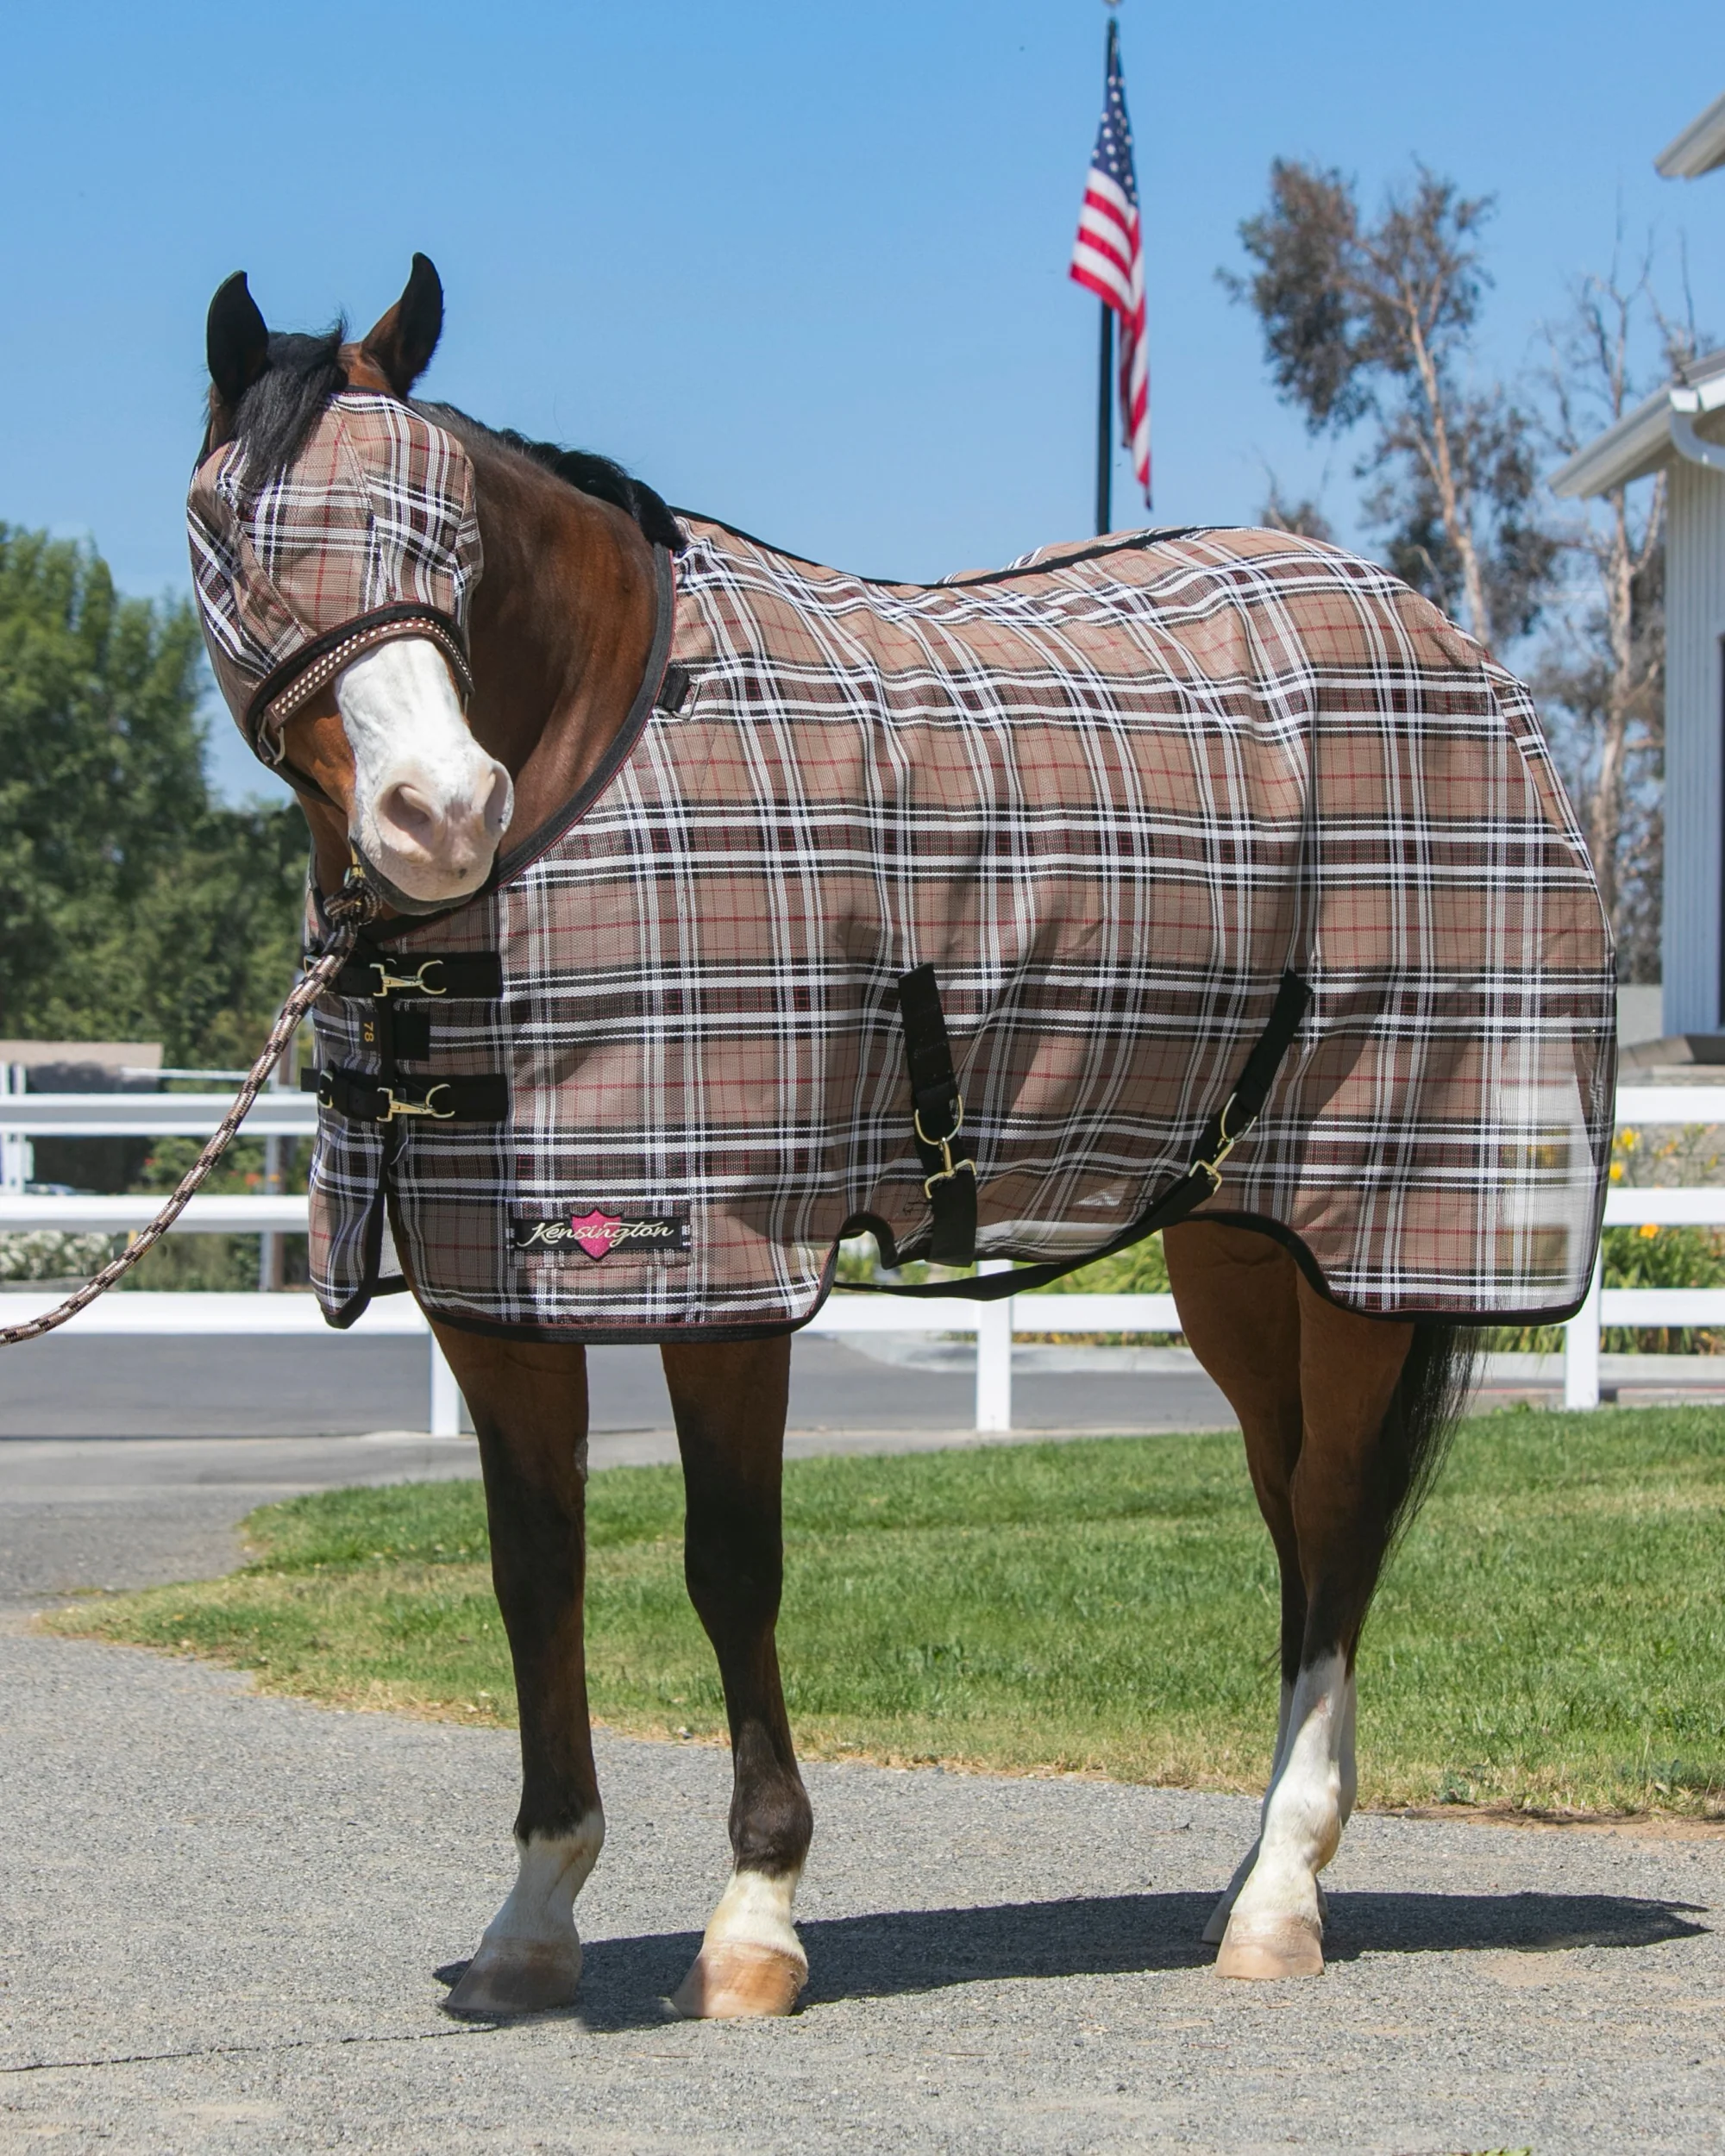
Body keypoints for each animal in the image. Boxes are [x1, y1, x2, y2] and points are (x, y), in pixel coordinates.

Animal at [187, 258, 1613, 2017]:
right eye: (233, 537)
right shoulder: (491, 1293)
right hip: (1240, 1245)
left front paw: (754, 1920)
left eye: (449, 536)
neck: (603, 765)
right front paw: (533, 1920)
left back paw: (1279, 1900)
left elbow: (731, 1569)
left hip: (1377, 1240)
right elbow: (538, 1578)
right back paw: (1258, 1867)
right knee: (1292, 1518)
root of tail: (1450, 647)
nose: (439, 811)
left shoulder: (724, 1272)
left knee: (1340, 1525)